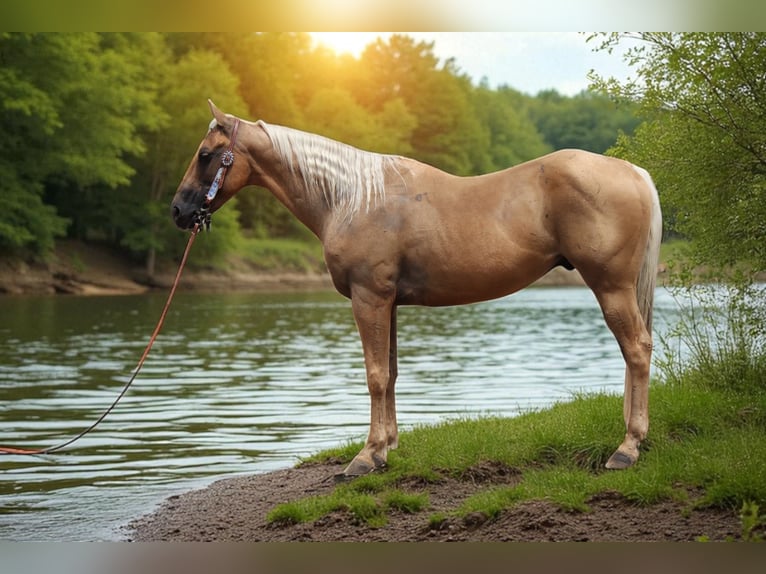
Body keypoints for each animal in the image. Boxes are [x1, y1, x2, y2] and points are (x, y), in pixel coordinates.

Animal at [171, 100, 662, 479]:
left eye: (206, 154)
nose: (178, 210)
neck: (351, 198)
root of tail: (633, 171)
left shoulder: (368, 298)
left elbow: (374, 376)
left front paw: (366, 456)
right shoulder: (386, 303)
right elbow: (389, 374)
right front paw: (386, 447)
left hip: (611, 287)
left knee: (637, 350)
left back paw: (627, 447)